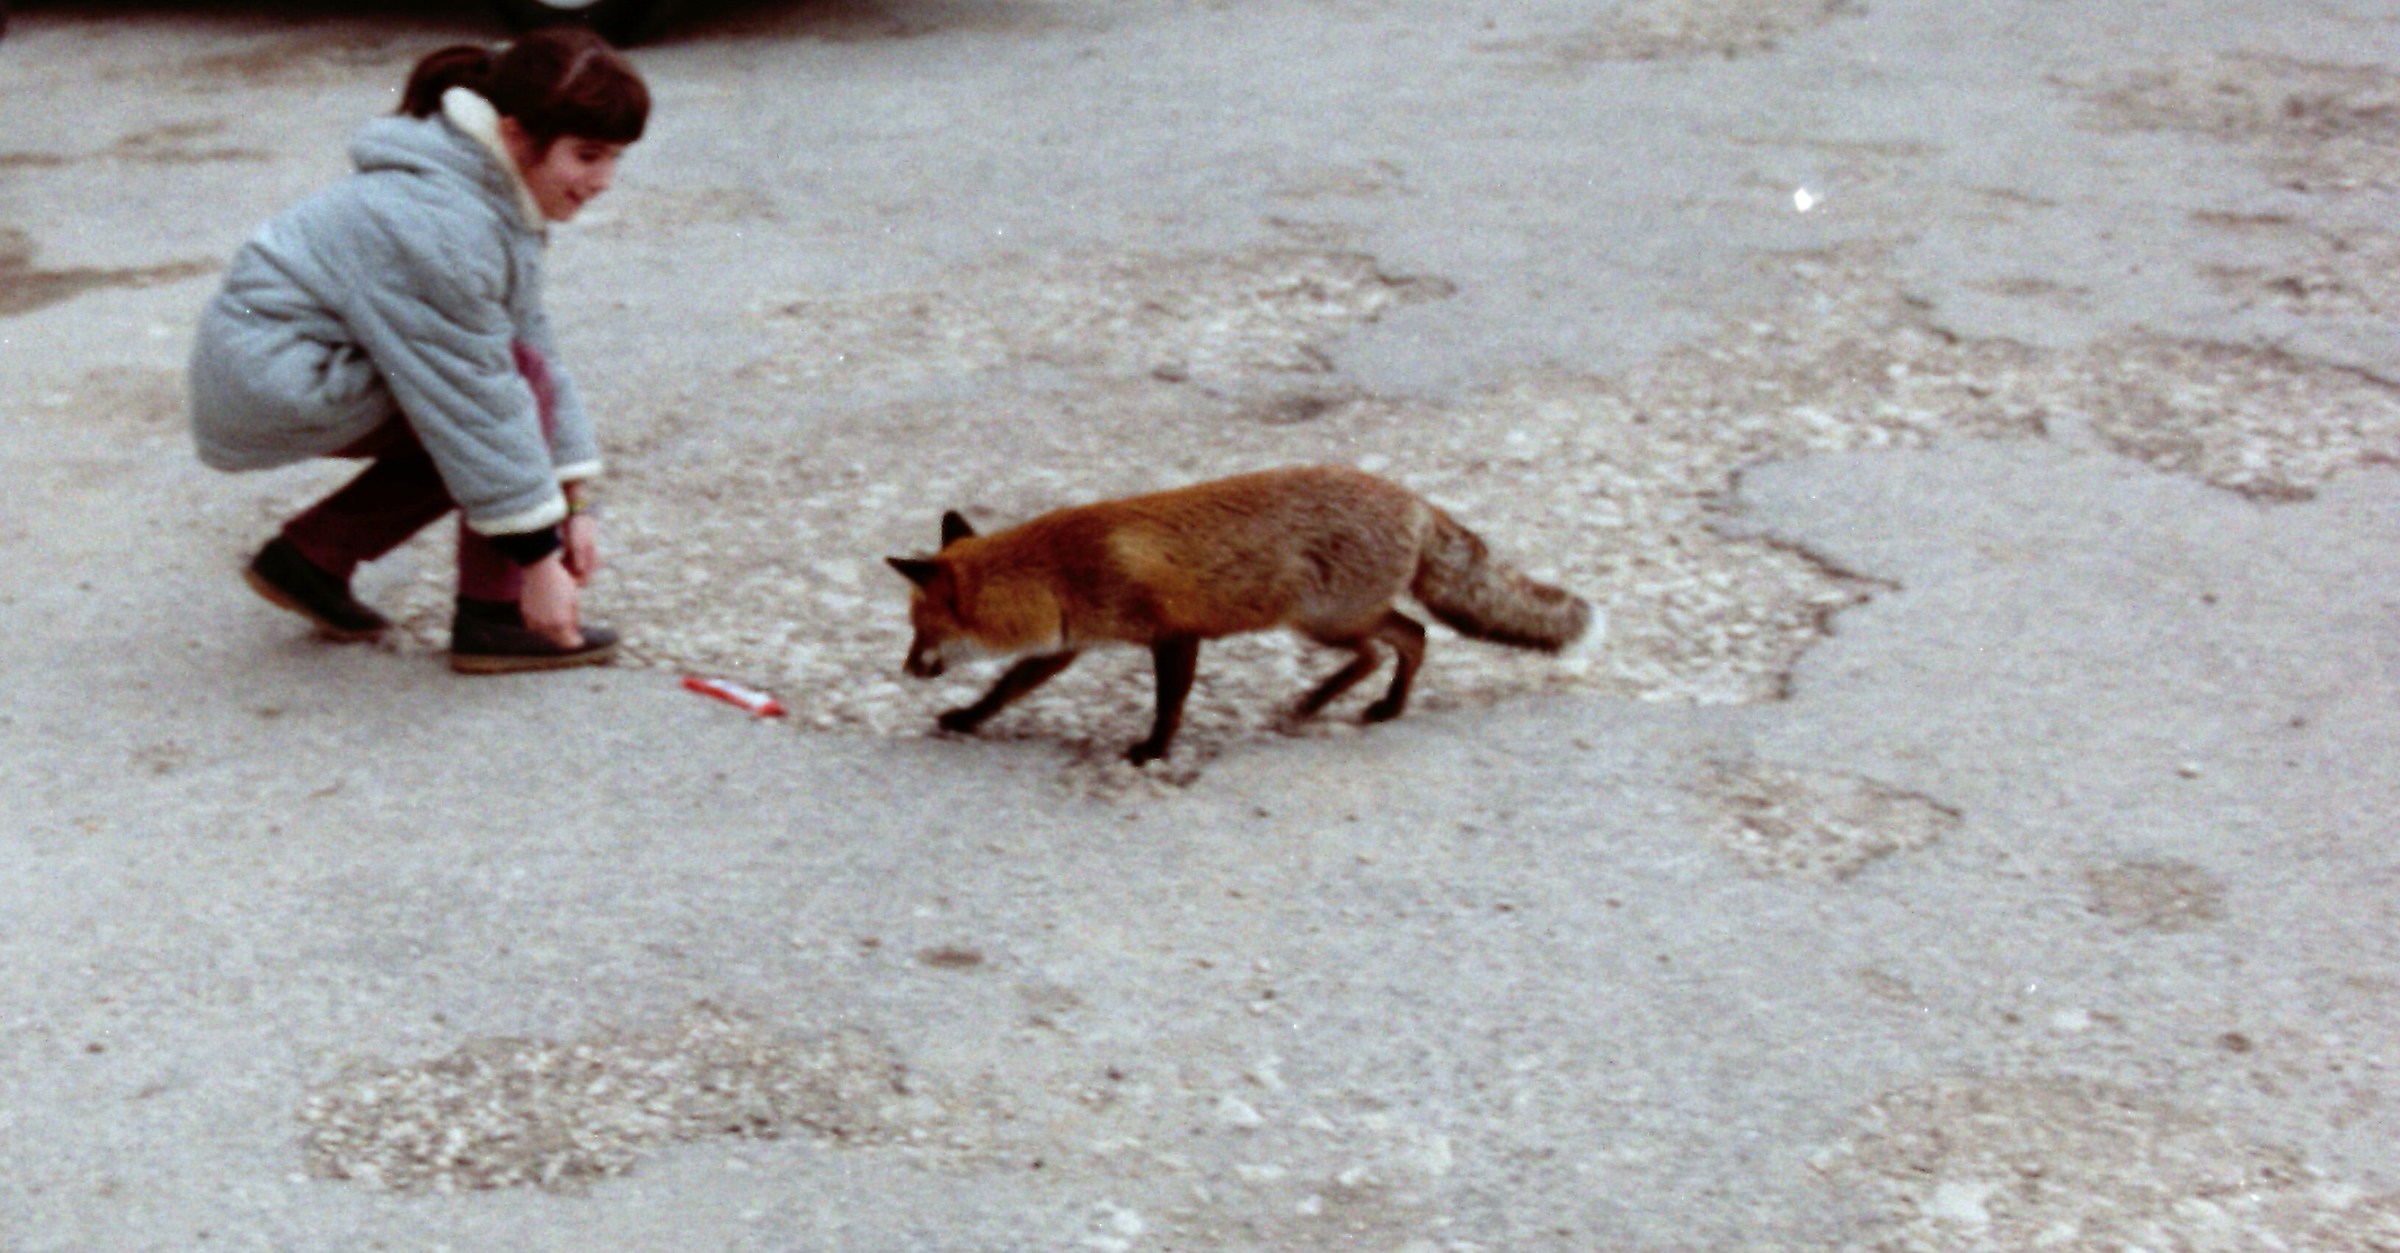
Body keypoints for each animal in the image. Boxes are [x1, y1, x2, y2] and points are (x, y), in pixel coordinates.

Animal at [883, 465, 1592, 765]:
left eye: (921, 629)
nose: (907, 670)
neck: (1061, 568)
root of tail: (1416, 502)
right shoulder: (1064, 645)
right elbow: (1005, 688)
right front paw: (967, 717)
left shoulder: (1173, 634)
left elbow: (1169, 704)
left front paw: (1152, 752)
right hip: (1326, 624)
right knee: (1390, 645)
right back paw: (1323, 703)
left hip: (1324, 622)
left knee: (1410, 637)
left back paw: (1378, 707)